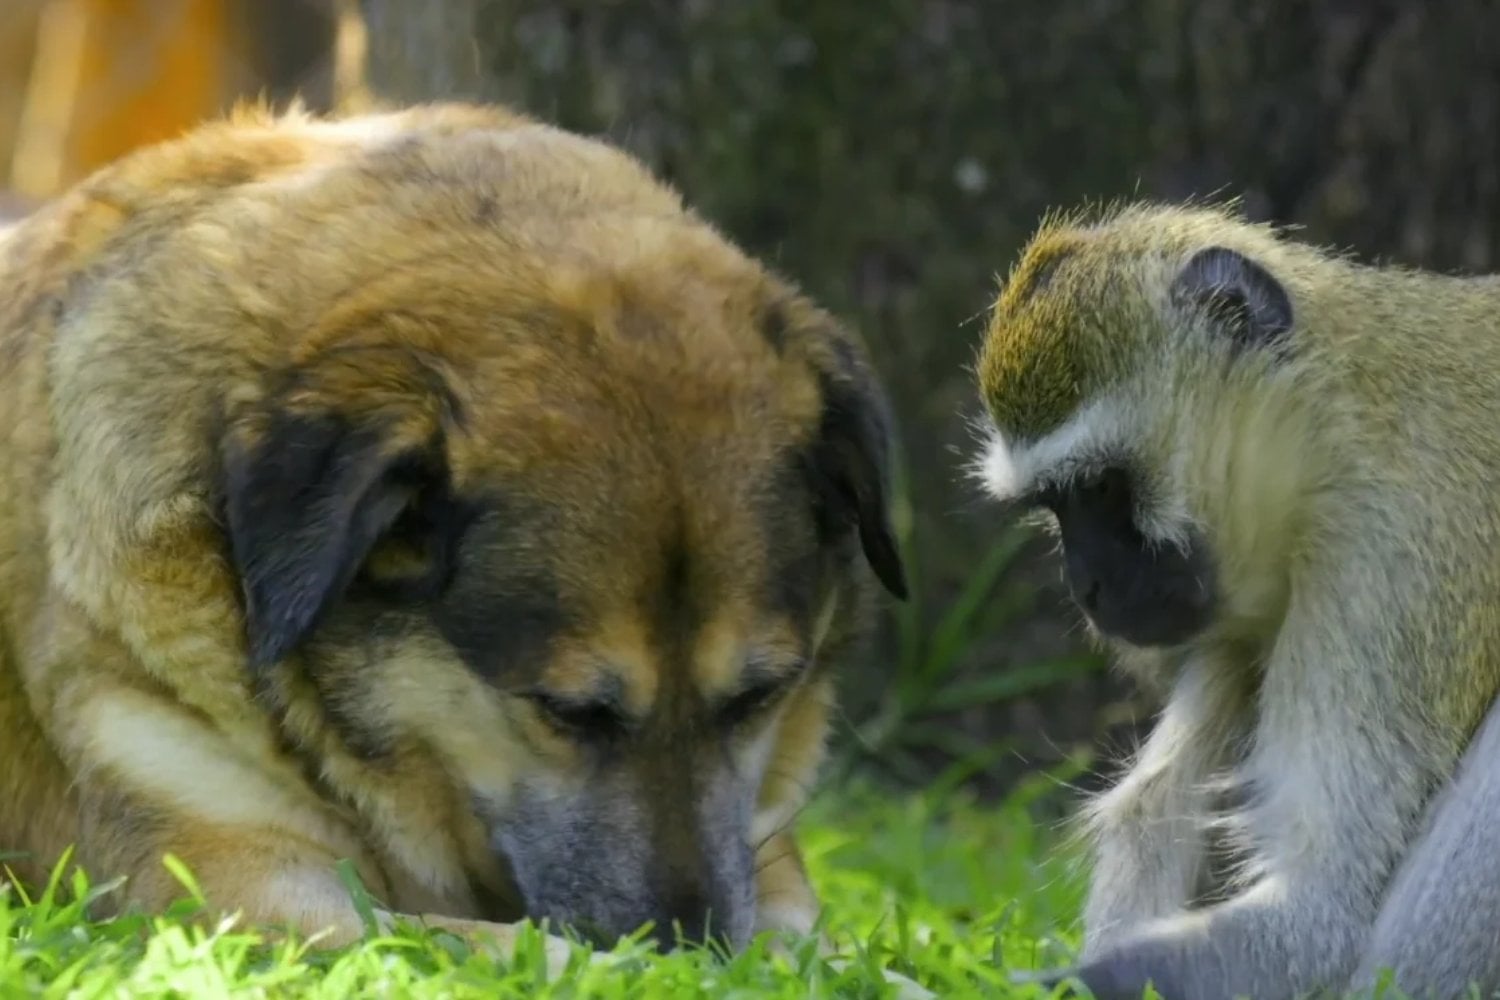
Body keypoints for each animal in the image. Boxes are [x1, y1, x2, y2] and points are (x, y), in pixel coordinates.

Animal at [970, 200, 1500, 999]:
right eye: (1055, 505)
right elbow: (1152, 813)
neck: (1339, 426)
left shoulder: (1392, 559)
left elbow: (1318, 918)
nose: (1083, 584)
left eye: (1100, 488)